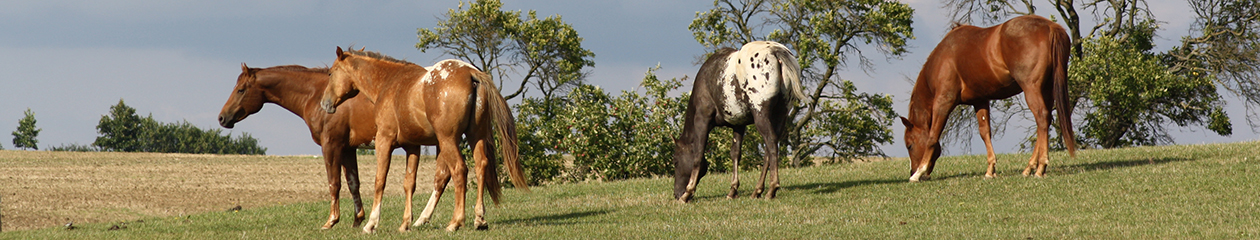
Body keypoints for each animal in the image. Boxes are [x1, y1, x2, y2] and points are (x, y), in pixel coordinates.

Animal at [216, 63, 375, 228]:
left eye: (240, 89)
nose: (222, 118)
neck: (318, 95)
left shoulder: (331, 146)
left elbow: (334, 183)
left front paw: (331, 221)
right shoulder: (348, 149)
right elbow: (353, 183)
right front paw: (357, 220)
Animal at [322, 46, 529, 232]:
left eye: (331, 73)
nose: (325, 103)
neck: (389, 83)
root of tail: (470, 72)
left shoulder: (384, 141)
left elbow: (379, 181)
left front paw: (371, 224)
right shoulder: (412, 147)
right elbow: (409, 184)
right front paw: (405, 224)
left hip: (448, 140)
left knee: (459, 170)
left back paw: (455, 222)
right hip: (475, 136)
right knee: (480, 166)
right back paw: (479, 219)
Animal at [670, 41, 806, 202]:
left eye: (676, 161)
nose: (677, 194)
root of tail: (775, 51)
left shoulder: (702, 120)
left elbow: (698, 155)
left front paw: (688, 192)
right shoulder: (739, 124)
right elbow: (735, 153)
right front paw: (733, 190)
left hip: (761, 115)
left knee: (771, 143)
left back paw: (772, 188)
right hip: (780, 115)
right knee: (769, 149)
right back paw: (758, 190)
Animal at [902, 14, 1078, 181]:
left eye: (909, 145)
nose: (912, 170)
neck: (944, 58)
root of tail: (1050, 27)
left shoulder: (943, 102)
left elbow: (932, 137)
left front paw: (918, 173)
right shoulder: (980, 101)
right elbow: (985, 132)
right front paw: (990, 170)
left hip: (1032, 88)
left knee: (1041, 117)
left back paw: (1040, 167)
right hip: (1046, 89)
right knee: (1044, 122)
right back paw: (1029, 168)